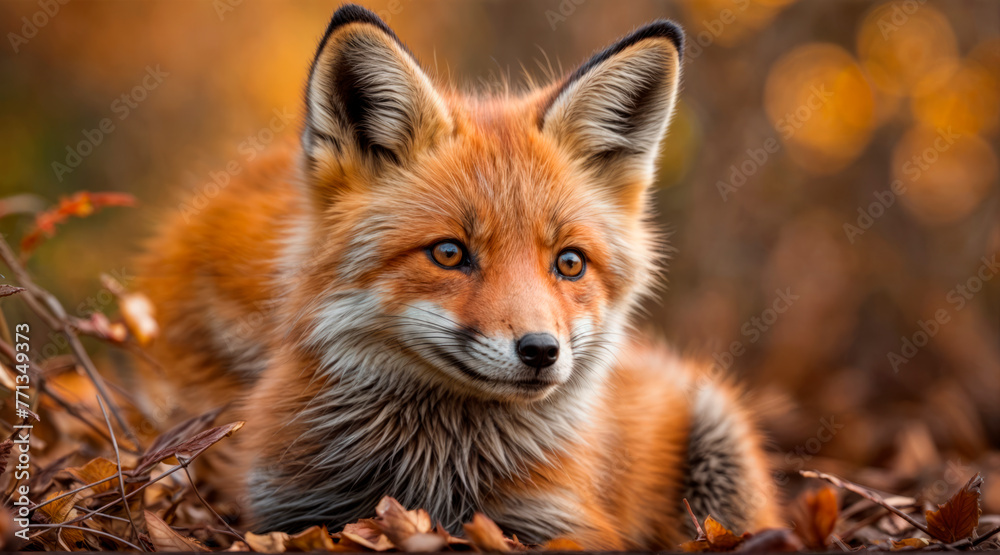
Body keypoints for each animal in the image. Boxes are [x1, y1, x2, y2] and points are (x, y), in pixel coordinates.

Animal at [137, 4, 779, 549]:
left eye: (570, 263)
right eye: (448, 254)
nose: (541, 350)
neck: (434, 475)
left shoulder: (559, 520)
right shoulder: (288, 507)